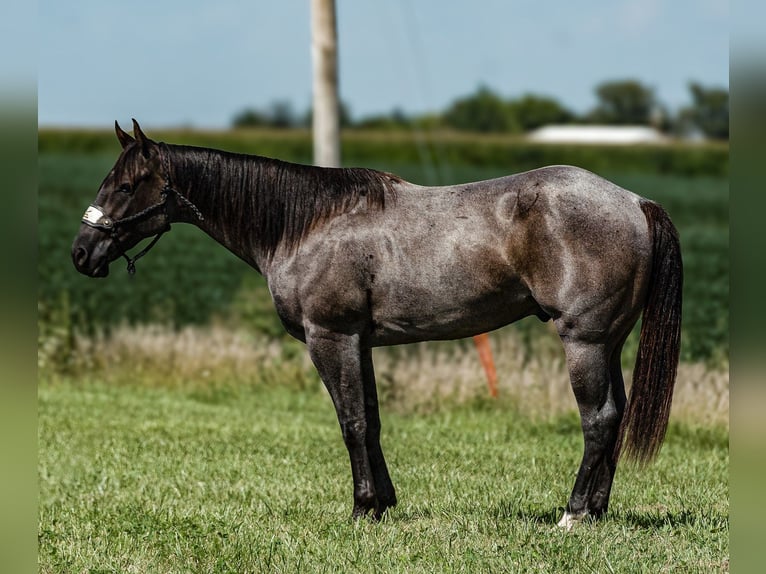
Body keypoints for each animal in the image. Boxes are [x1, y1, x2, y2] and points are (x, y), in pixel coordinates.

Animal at [73, 121, 684, 532]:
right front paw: (383, 503)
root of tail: (636, 201)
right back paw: (598, 512)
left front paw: (362, 507)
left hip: (584, 341)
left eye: (125, 186)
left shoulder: (331, 338)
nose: (81, 253)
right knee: (615, 416)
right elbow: (371, 418)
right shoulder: (360, 343)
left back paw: (574, 514)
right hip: (609, 342)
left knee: (598, 421)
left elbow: (351, 424)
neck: (306, 225)